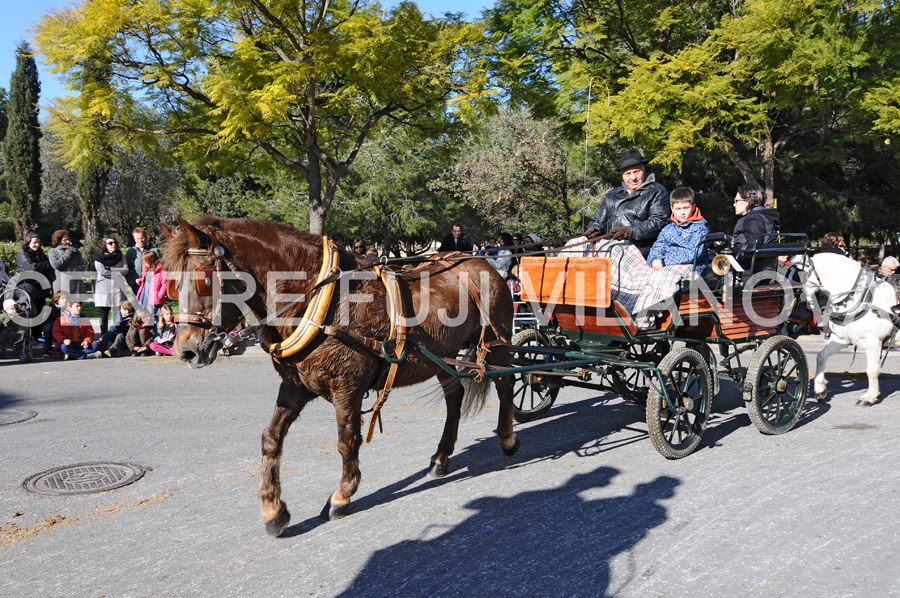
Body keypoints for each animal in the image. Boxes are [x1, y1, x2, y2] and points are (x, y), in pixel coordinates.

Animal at [158, 217, 516, 540]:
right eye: (173, 283)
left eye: (203, 280)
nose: (186, 350)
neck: (319, 297)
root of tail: (483, 264)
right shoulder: (295, 386)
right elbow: (271, 438)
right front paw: (273, 509)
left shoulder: (348, 387)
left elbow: (346, 442)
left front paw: (341, 496)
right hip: (444, 358)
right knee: (454, 399)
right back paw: (441, 457)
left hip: (496, 346)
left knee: (507, 386)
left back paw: (508, 438)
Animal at [800, 253, 900, 408]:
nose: (800, 302)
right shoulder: (842, 338)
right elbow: (821, 357)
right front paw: (820, 388)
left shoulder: (874, 341)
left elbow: (872, 371)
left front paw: (869, 397)